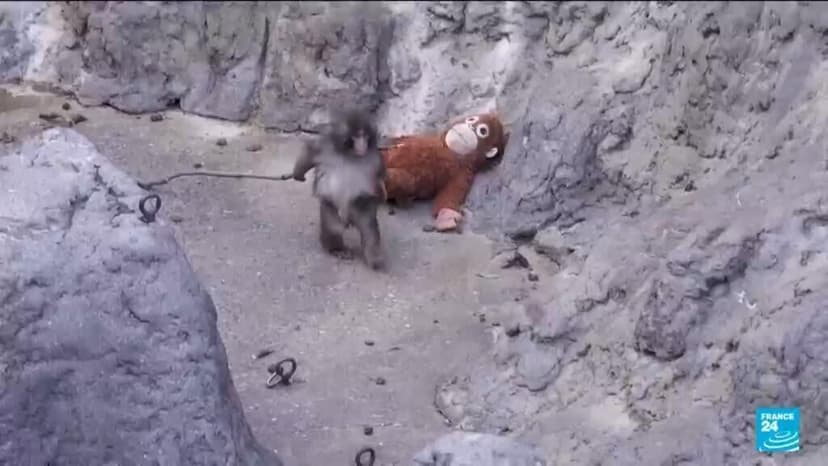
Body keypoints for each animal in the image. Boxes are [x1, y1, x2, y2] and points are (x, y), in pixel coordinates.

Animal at [292, 108, 387, 270]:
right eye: (356, 136)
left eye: (365, 136)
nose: (362, 144)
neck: (349, 154)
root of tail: (348, 220)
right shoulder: (325, 148)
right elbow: (310, 153)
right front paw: (298, 174)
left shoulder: (375, 157)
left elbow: (380, 176)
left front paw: (383, 190)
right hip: (331, 208)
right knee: (333, 227)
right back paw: (337, 249)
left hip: (358, 206)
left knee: (369, 229)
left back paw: (374, 259)